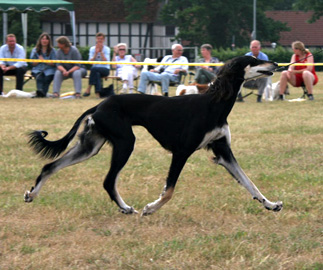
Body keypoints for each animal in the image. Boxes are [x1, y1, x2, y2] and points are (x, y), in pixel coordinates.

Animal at [24, 56, 284, 215]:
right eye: (253, 61)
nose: (276, 63)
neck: (214, 104)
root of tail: (100, 105)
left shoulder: (223, 151)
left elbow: (249, 183)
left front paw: (271, 204)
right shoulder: (182, 151)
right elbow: (169, 191)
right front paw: (150, 208)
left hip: (91, 145)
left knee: (50, 166)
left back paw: (32, 193)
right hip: (125, 142)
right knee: (108, 181)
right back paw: (126, 208)